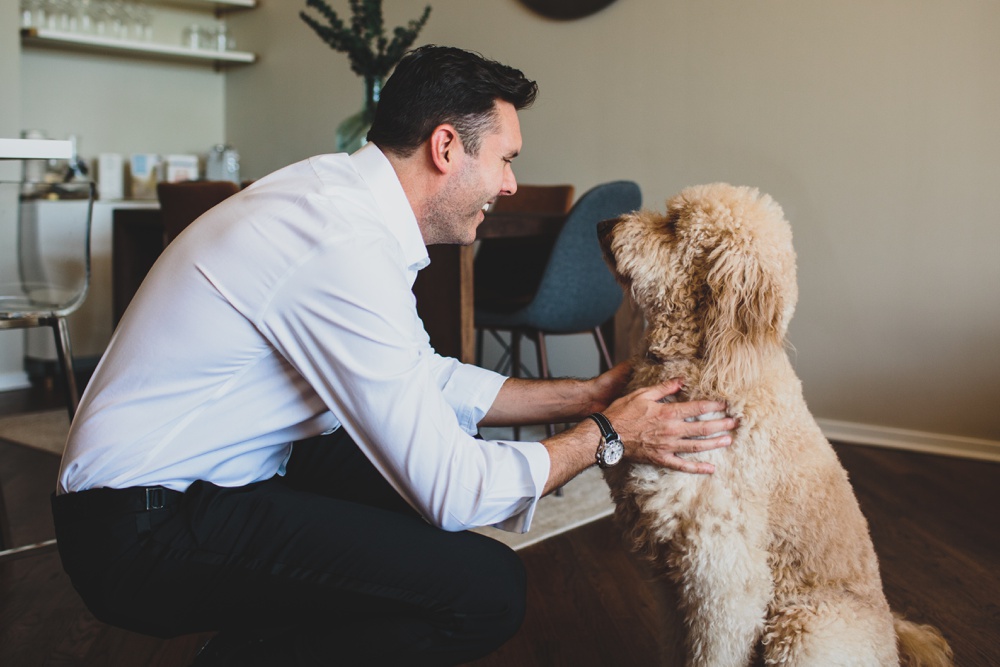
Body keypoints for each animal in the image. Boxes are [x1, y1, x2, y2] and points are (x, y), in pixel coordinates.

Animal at [596, 184, 948, 667]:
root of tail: (894, 642)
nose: (601, 224)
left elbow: (716, 650)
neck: (712, 363)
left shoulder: (722, 569)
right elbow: (677, 642)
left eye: (674, 225)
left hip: (804, 629)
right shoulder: (672, 576)